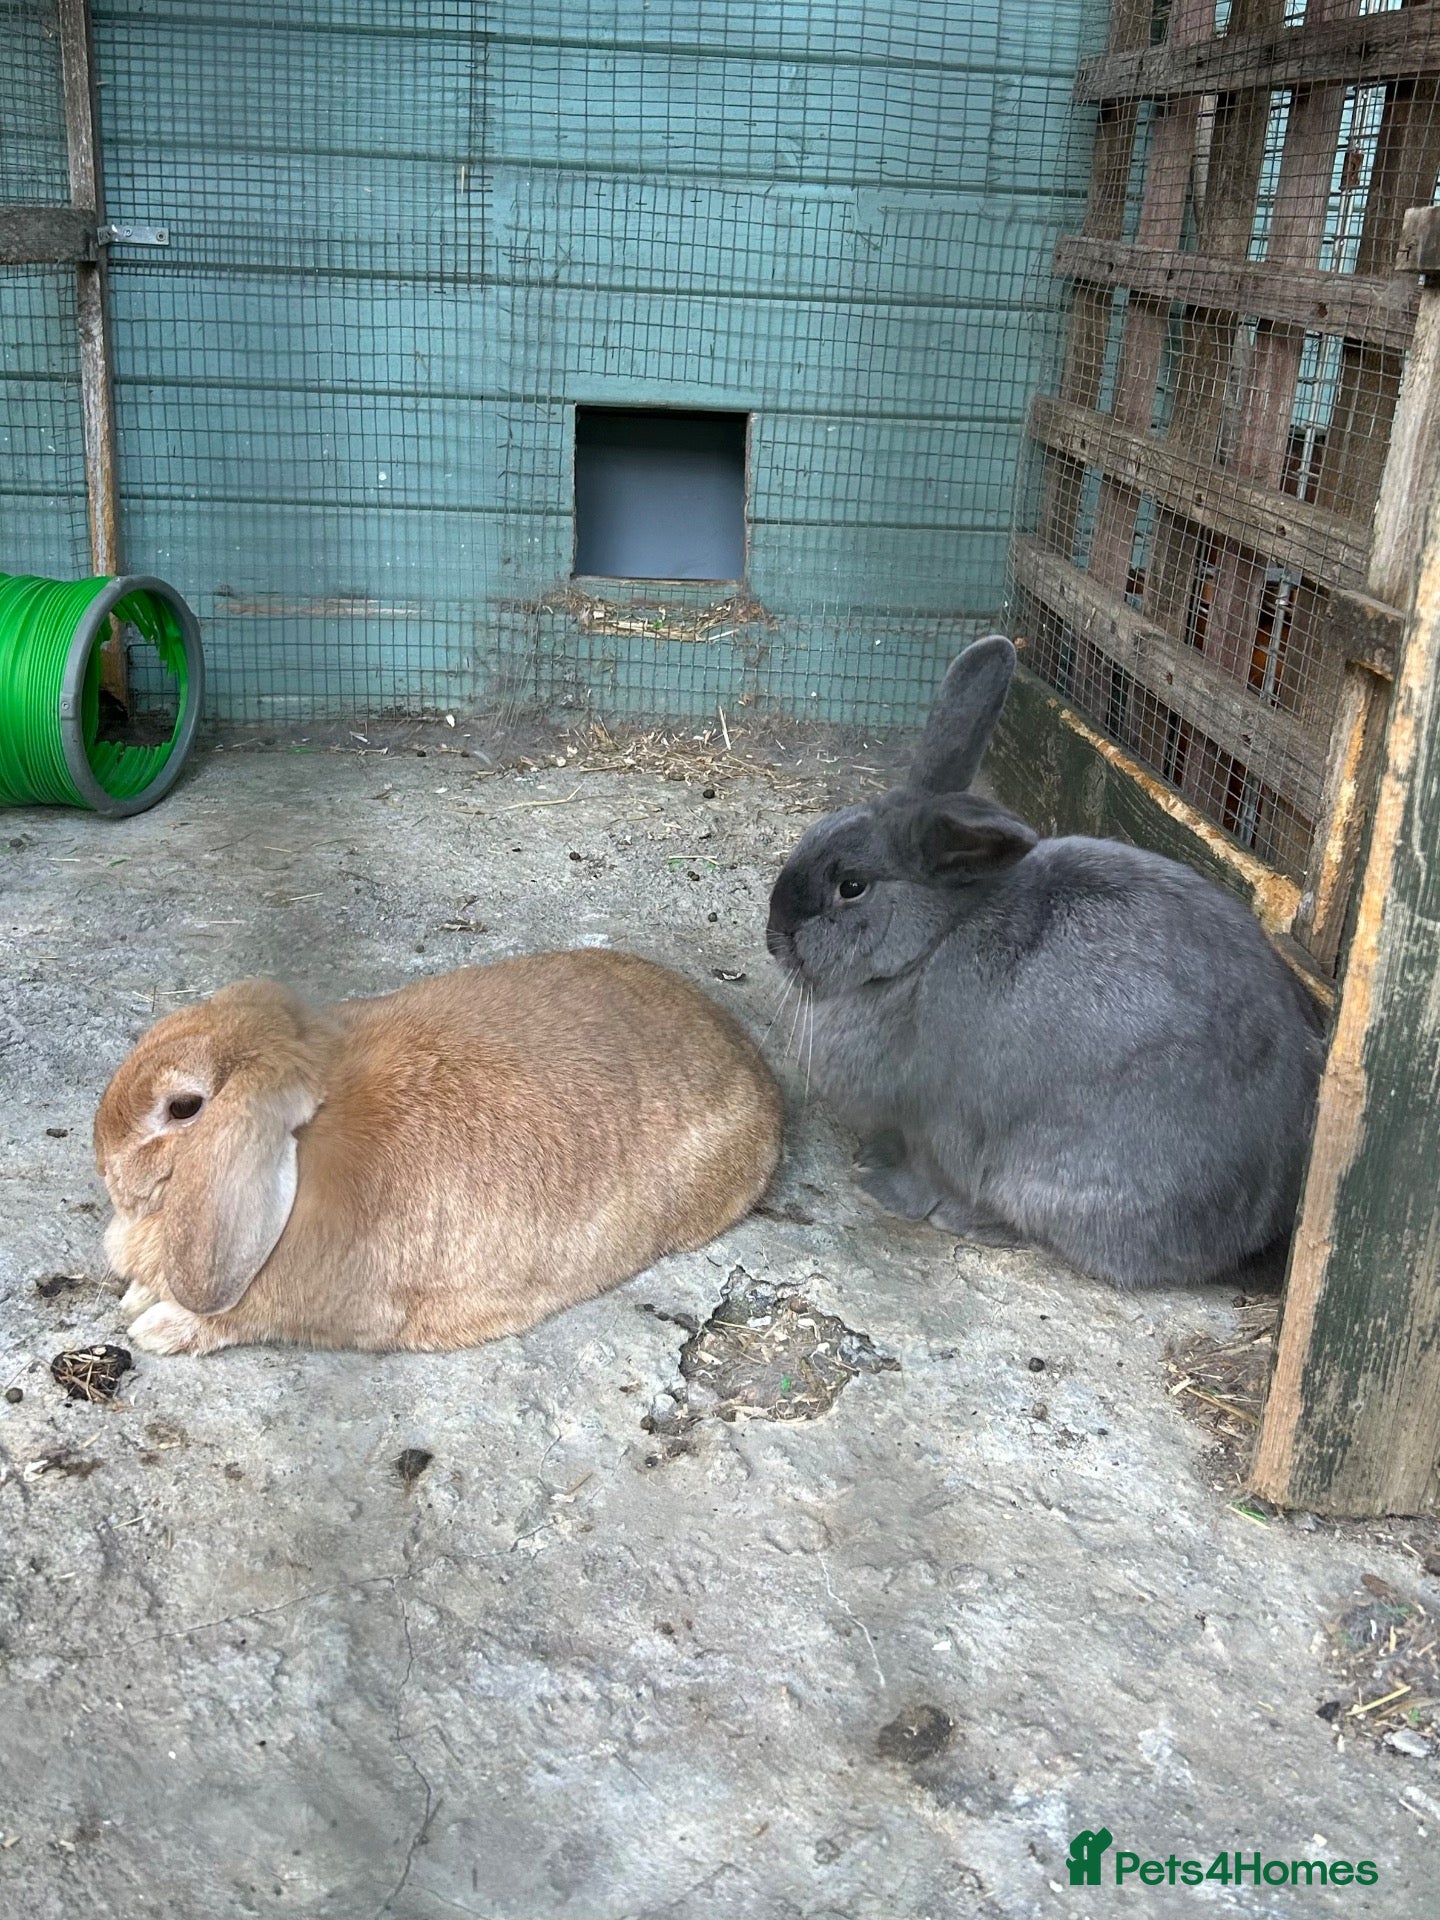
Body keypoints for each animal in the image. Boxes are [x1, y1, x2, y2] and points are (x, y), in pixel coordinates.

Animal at [94, 949, 781, 1355]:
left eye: (184, 1108)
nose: (101, 1158)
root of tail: (760, 1077)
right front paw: (136, 1297)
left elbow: (228, 1321)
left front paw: (152, 1327)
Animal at [765, 634, 1327, 1289]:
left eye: (850, 887)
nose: (774, 937)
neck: (928, 949)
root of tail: (1265, 1221)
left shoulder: (939, 1125)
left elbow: (926, 1171)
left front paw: (884, 1187)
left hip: (1056, 1181)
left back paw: (970, 1220)